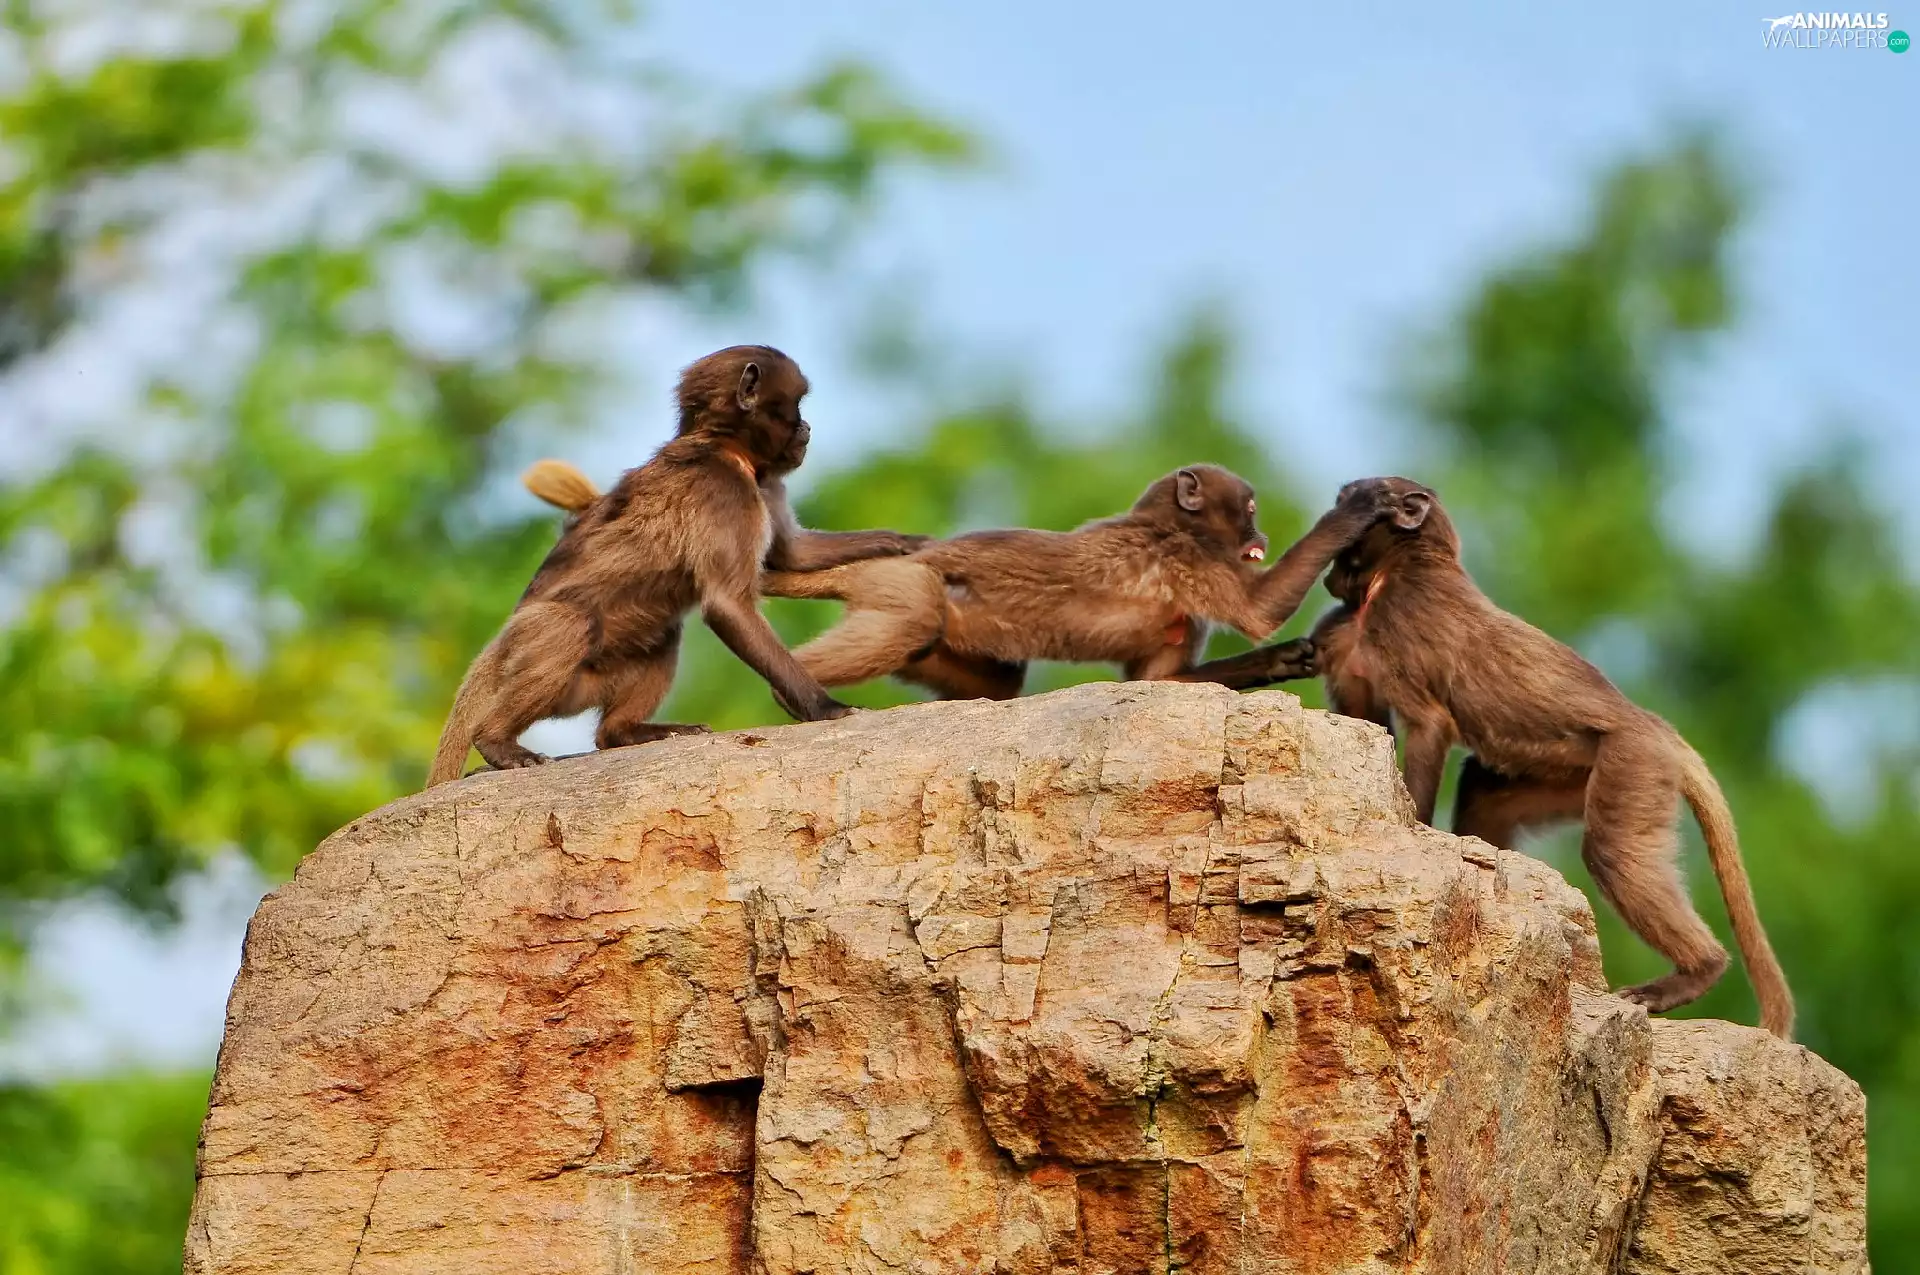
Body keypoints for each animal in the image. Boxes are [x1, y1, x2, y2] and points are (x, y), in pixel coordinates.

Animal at [428, 345, 919, 788]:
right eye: (795, 405)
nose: (807, 428)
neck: (722, 446)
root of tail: (498, 650)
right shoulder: (725, 492)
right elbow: (727, 604)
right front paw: (826, 709)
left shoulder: (763, 484)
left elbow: (792, 554)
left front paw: (905, 543)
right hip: (549, 668)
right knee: (570, 623)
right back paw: (496, 743)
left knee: (661, 638)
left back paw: (625, 733)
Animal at [526, 460, 1400, 698]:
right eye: (1245, 506)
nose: (1259, 535)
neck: (1165, 524)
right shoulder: (1193, 566)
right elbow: (1255, 609)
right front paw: (1357, 511)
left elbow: (1162, 684)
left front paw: (1280, 664)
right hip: (903, 591)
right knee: (906, 618)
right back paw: (793, 692)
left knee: (992, 676)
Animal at [1304, 477, 1794, 1038]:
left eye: (1349, 500)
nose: (1329, 571)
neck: (1411, 562)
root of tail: (1657, 728)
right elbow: (1368, 721)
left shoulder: (1399, 620)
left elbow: (1429, 725)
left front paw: (1418, 830)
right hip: (1573, 770)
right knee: (1485, 792)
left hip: (1632, 762)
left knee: (1611, 852)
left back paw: (1696, 971)